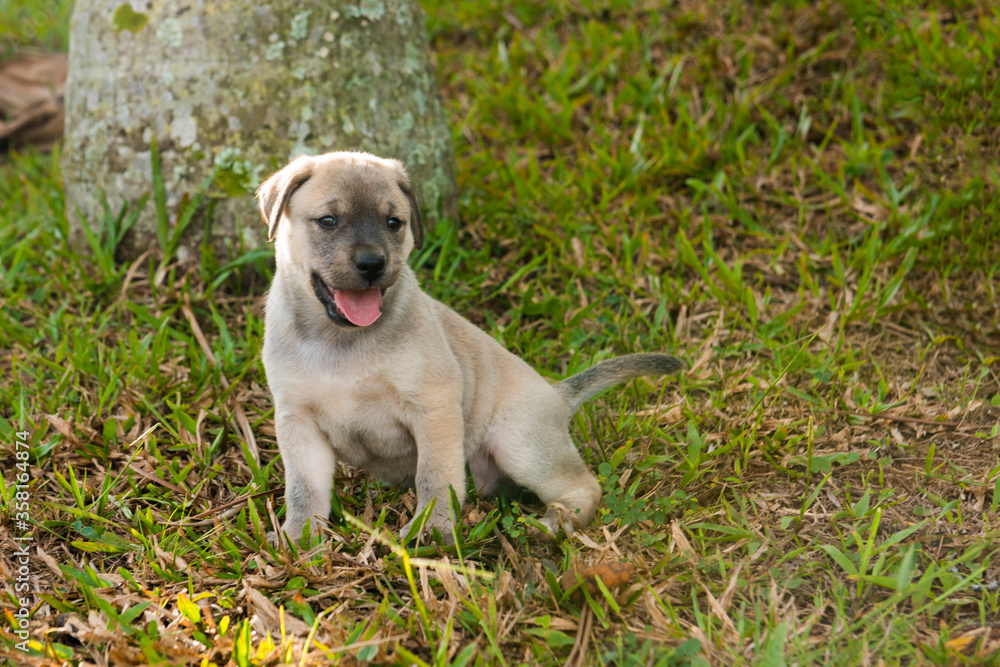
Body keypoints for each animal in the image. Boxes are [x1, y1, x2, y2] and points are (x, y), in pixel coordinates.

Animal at [254, 151, 684, 544]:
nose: (372, 264)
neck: (339, 341)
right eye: (328, 221)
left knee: (584, 487)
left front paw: (432, 529)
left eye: (394, 223)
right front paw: (299, 538)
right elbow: (304, 491)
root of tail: (557, 397)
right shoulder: (299, 423)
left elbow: (434, 477)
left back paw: (551, 525)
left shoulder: (434, 408)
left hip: (520, 446)